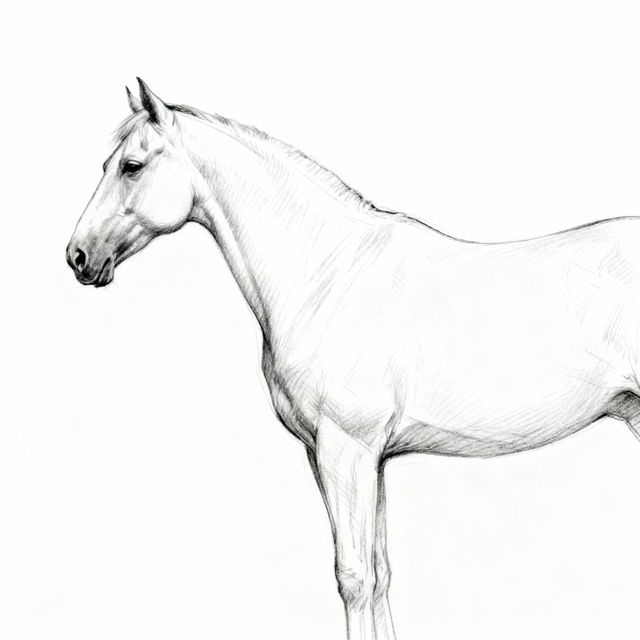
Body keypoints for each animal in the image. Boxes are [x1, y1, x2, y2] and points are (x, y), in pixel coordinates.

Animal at [66, 79, 640, 640]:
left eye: (131, 166)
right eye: (106, 163)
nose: (78, 257)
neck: (328, 275)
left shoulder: (347, 448)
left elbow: (354, 576)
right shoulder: (359, 456)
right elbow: (380, 572)